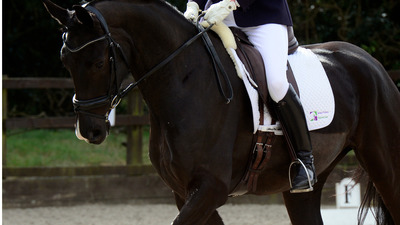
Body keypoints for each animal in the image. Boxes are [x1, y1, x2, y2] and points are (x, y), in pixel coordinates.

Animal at [43, 0, 400, 224]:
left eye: (98, 62)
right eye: (64, 60)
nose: (89, 131)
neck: (184, 81)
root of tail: (371, 62)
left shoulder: (211, 188)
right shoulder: (185, 192)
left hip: (385, 164)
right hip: (303, 189)